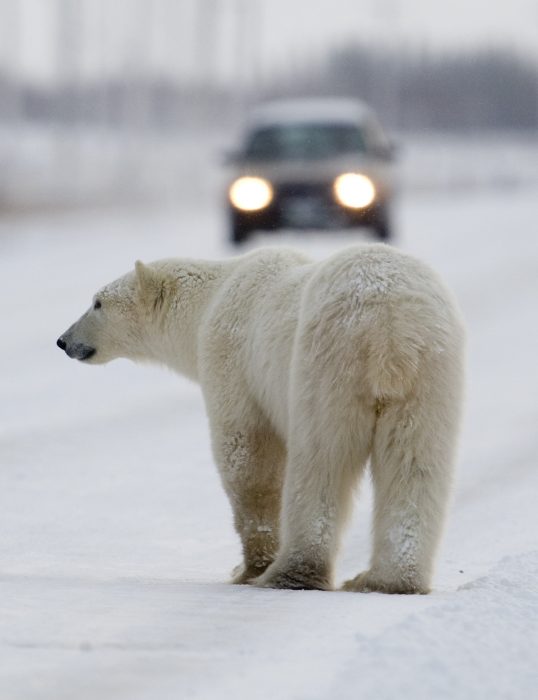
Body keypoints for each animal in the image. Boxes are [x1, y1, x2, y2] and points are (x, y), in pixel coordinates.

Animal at [56, 243, 462, 592]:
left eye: (97, 302)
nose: (63, 340)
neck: (211, 298)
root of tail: (391, 328)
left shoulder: (232, 359)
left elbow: (247, 457)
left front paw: (249, 567)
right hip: (430, 375)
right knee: (416, 463)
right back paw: (387, 580)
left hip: (328, 361)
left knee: (321, 459)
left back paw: (292, 572)